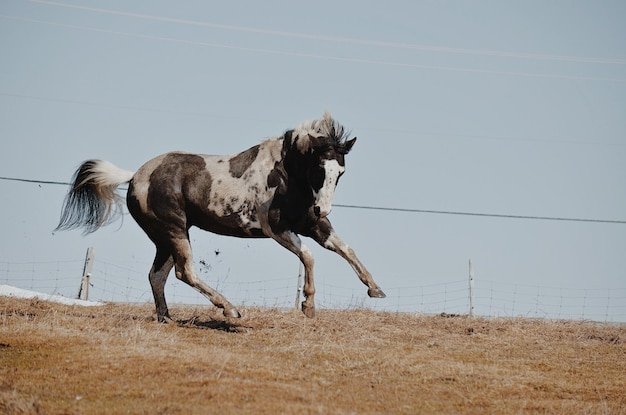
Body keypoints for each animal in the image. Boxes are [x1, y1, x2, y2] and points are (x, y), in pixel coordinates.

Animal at [54, 113, 386, 322]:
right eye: (318, 169)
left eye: (340, 172)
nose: (323, 209)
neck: (285, 174)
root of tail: (135, 176)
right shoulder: (277, 229)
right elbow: (308, 256)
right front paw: (308, 305)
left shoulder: (313, 226)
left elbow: (346, 249)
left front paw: (375, 289)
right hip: (175, 231)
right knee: (185, 272)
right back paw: (230, 310)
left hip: (164, 239)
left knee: (157, 275)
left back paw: (167, 318)